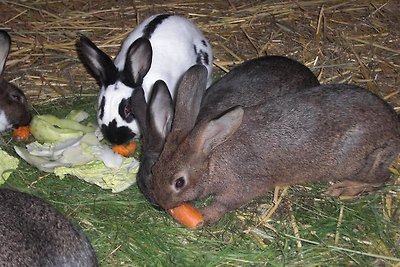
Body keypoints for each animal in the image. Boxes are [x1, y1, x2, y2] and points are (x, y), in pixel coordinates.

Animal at [149, 65, 400, 226]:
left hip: (355, 161)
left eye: (179, 182)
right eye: (154, 169)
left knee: (382, 178)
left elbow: (225, 203)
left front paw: (205, 215)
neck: (212, 157)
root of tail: (393, 129)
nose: (161, 204)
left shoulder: (243, 185)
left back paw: (344, 189)